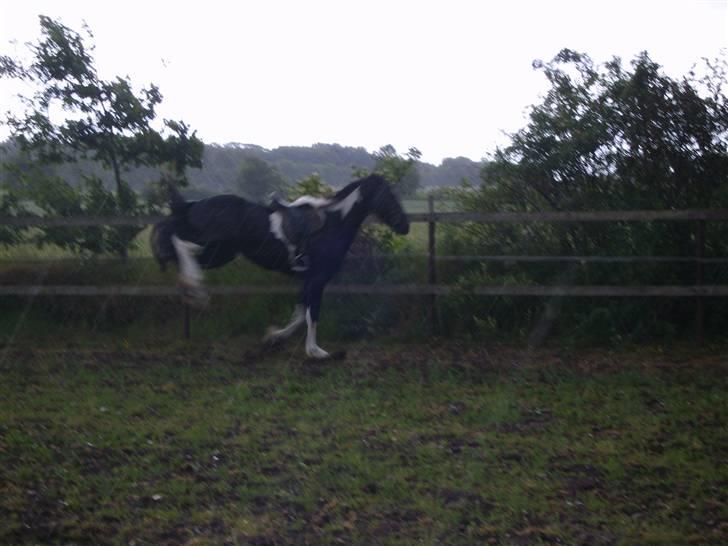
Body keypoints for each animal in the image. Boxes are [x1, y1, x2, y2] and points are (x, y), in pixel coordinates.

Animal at [151, 174, 410, 360]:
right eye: (387, 195)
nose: (404, 225)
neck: (332, 225)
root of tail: (194, 205)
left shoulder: (308, 279)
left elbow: (299, 314)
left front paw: (274, 337)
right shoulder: (318, 279)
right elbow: (311, 314)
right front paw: (315, 351)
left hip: (221, 252)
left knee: (176, 243)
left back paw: (188, 286)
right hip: (218, 248)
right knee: (181, 244)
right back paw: (194, 289)